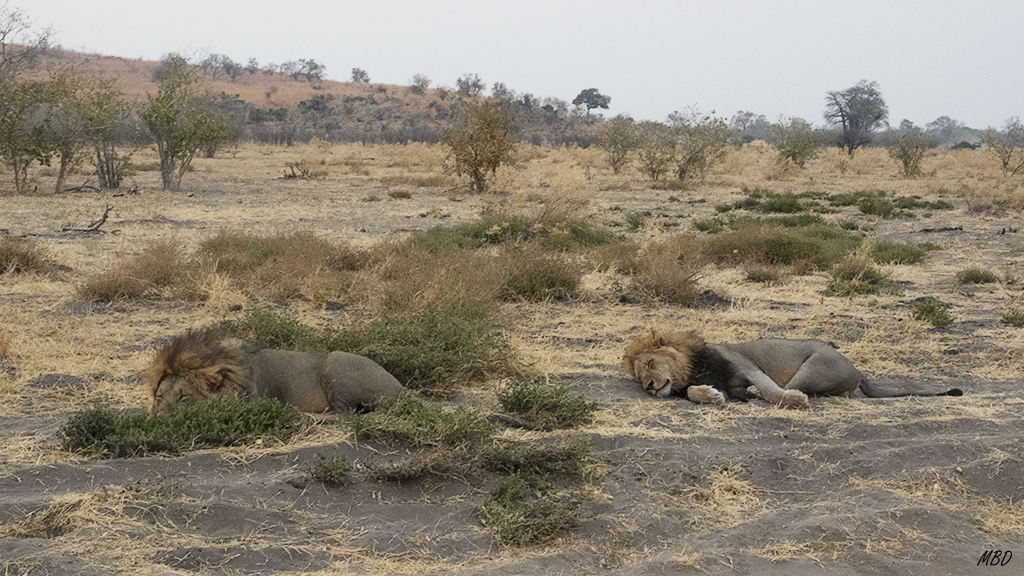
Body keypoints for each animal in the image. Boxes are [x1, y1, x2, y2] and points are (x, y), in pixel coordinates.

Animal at [143, 329, 405, 414]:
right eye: (159, 397)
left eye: (184, 396)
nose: (160, 417)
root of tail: (401, 387)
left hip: (337, 364)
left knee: (343, 415)